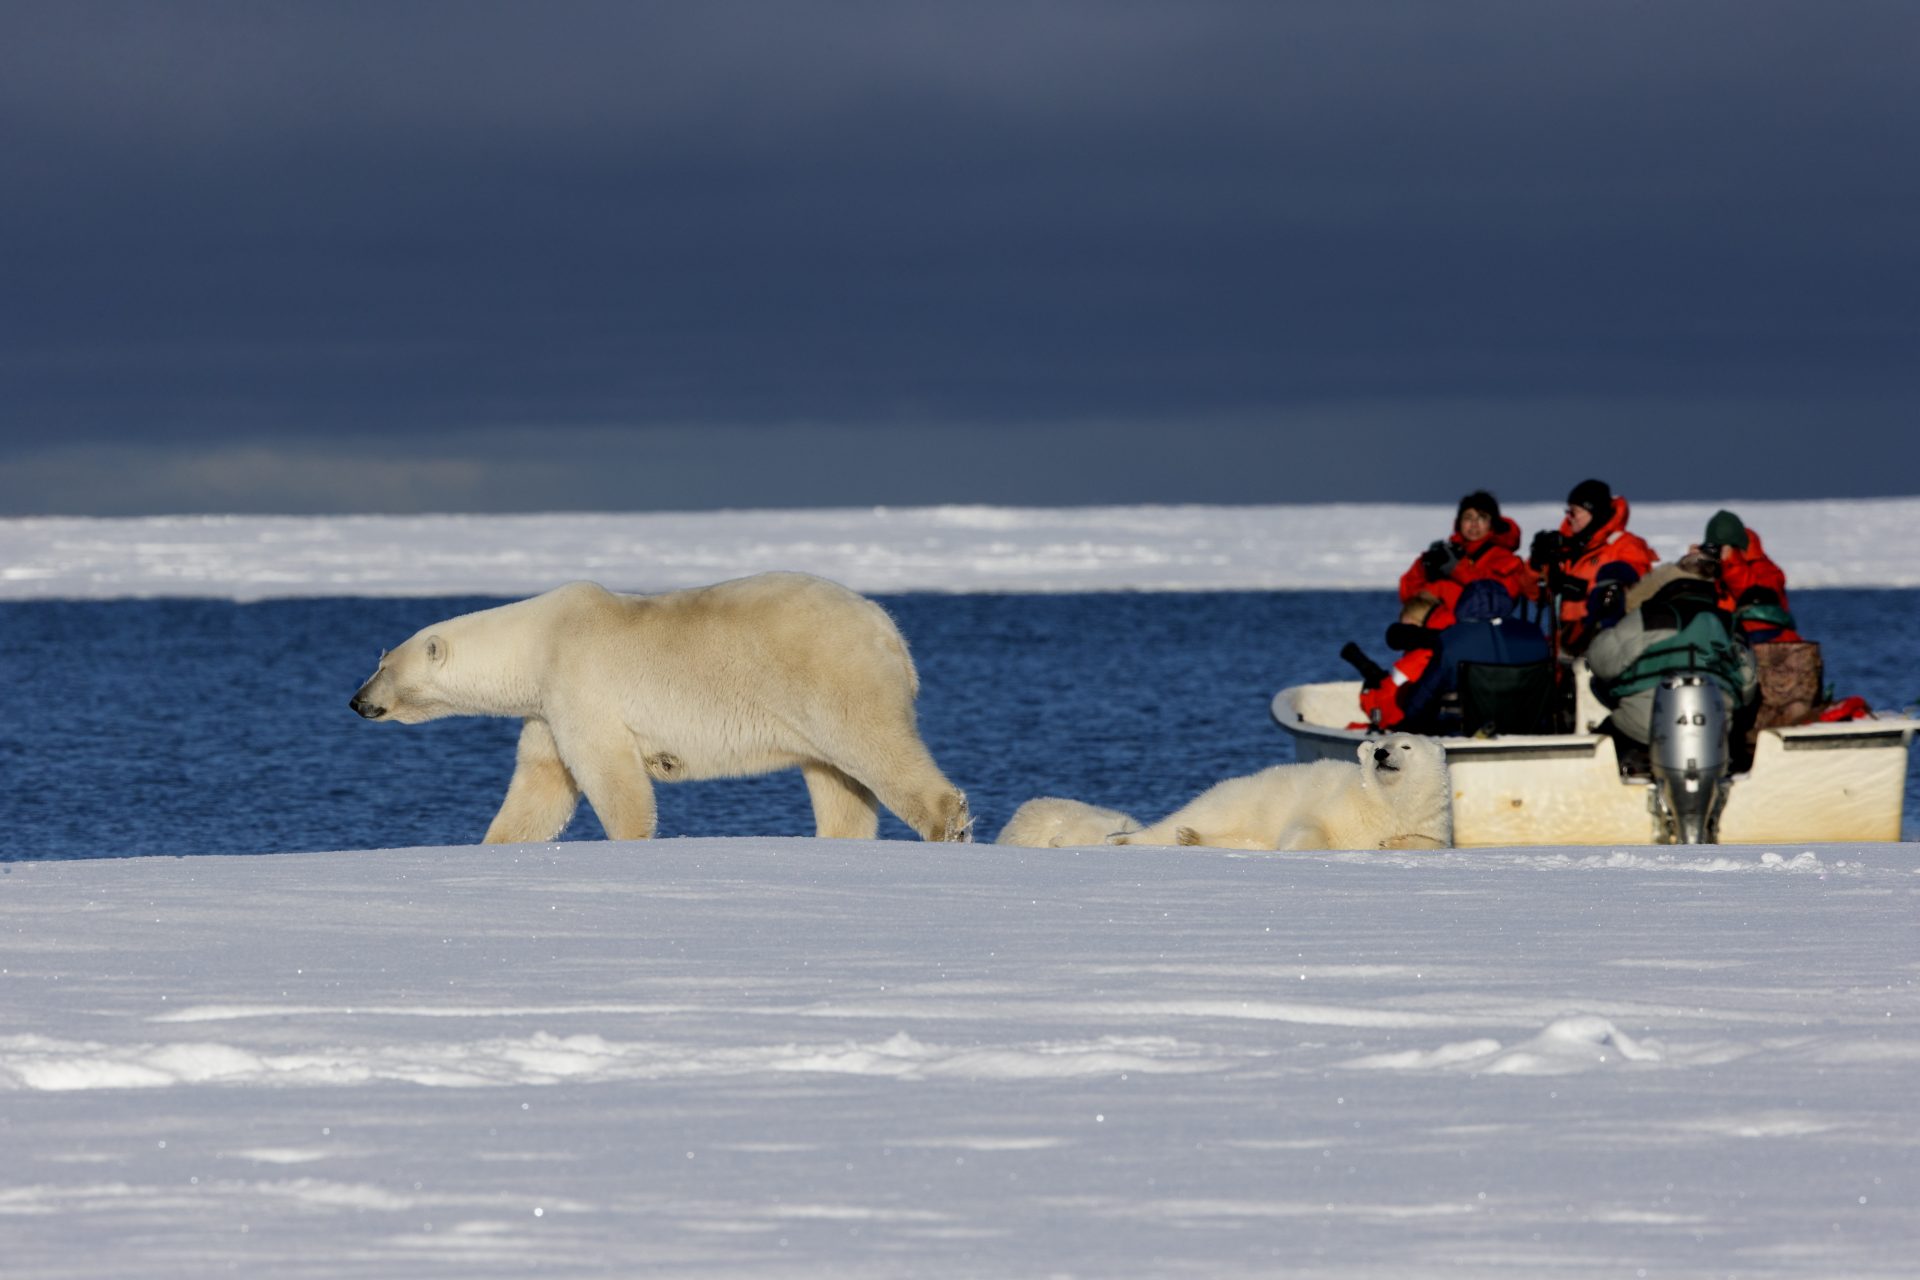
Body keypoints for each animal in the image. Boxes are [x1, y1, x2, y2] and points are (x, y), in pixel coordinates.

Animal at [1113, 729, 1451, 852]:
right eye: (1378, 744)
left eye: (1405, 746)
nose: (1381, 754)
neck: (1385, 803)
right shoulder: (1340, 803)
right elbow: (1310, 823)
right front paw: (1292, 846)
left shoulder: (1429, 818)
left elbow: (1433, 843)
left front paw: (1391, 842)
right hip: (1234, 800)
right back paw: (1125, 838)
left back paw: (1191, 838)